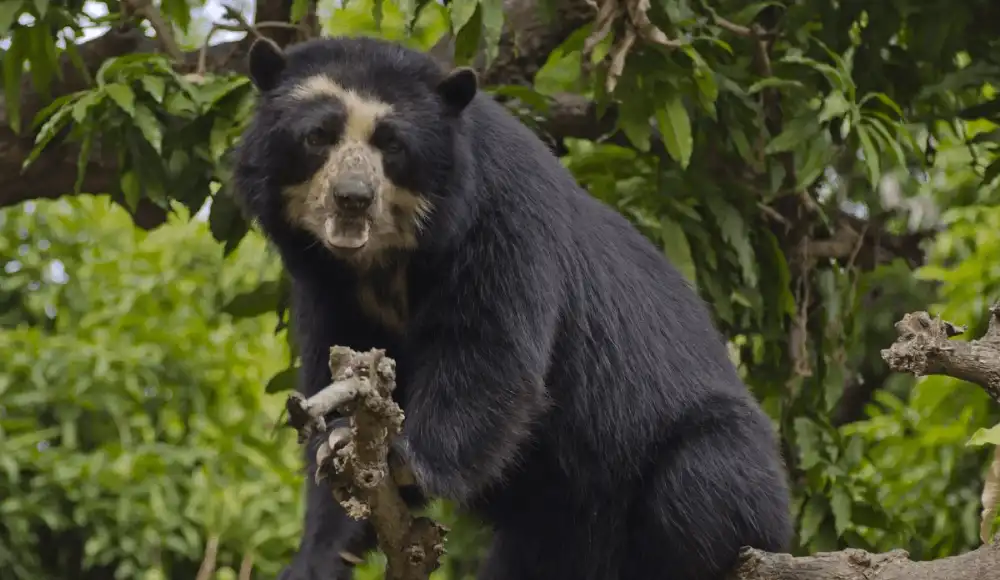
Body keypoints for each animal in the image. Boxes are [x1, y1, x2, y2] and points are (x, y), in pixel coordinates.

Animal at [232, 34, 793, 580]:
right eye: (317, 136)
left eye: (391, 144)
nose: (353, 198)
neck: (384, 263)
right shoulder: (325, 286)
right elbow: (335, 377)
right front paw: (326, 536)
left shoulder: (502, 218)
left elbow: (488, 352)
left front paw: (402, 462)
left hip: (704, 461)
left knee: (699, 485)